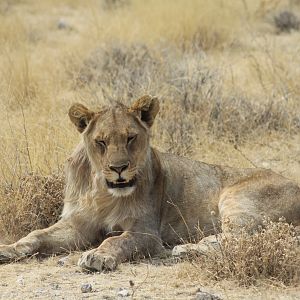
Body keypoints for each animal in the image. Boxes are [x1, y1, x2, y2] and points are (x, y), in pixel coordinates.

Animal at [0, 95, 298, 270]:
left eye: (131, 138)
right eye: (101, 142)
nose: (119, 168)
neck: (103, 192)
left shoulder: (147, 232)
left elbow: (116, 241)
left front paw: (98, 256)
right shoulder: (78, 225)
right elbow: (36, 235)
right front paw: (8, 249)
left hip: (236, 198)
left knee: (240, 239)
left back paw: (185, 249)